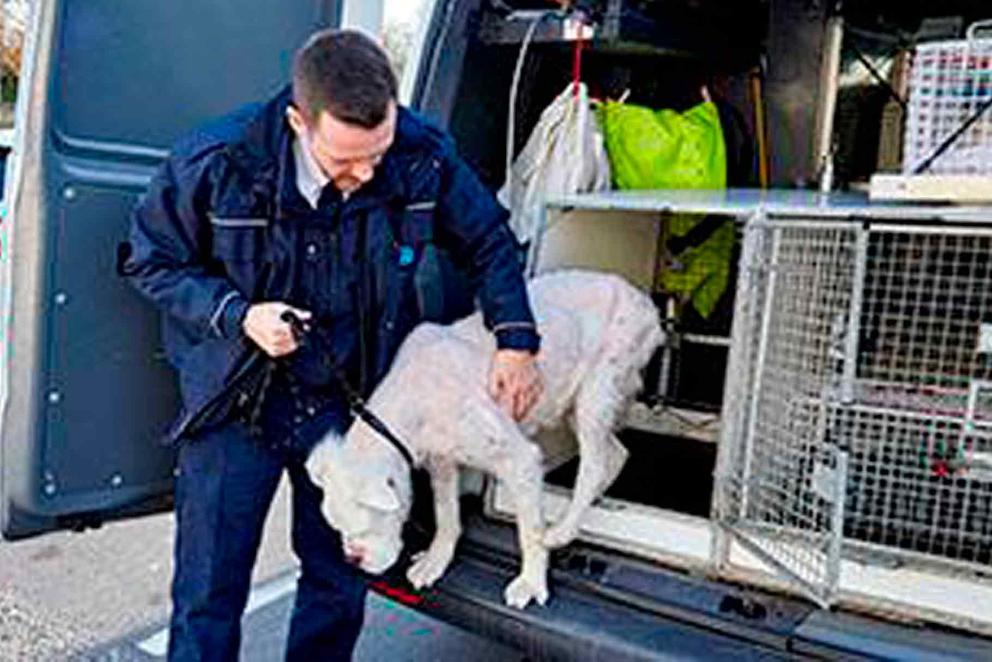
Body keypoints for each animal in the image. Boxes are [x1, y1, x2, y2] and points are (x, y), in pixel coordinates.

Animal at [304, 268, 668, 608]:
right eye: (339, 530)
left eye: (366, 527)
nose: (354, 560)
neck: (418, 393)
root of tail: (644, 302)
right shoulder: (442, 461)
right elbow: (446, 513)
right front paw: (435, 561)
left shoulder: (520, 461)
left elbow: (529, 531)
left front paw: (531, 583)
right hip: (574, 405)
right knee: (615, 454)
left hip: (596, 391)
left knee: (593, 465)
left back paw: (563, 530)